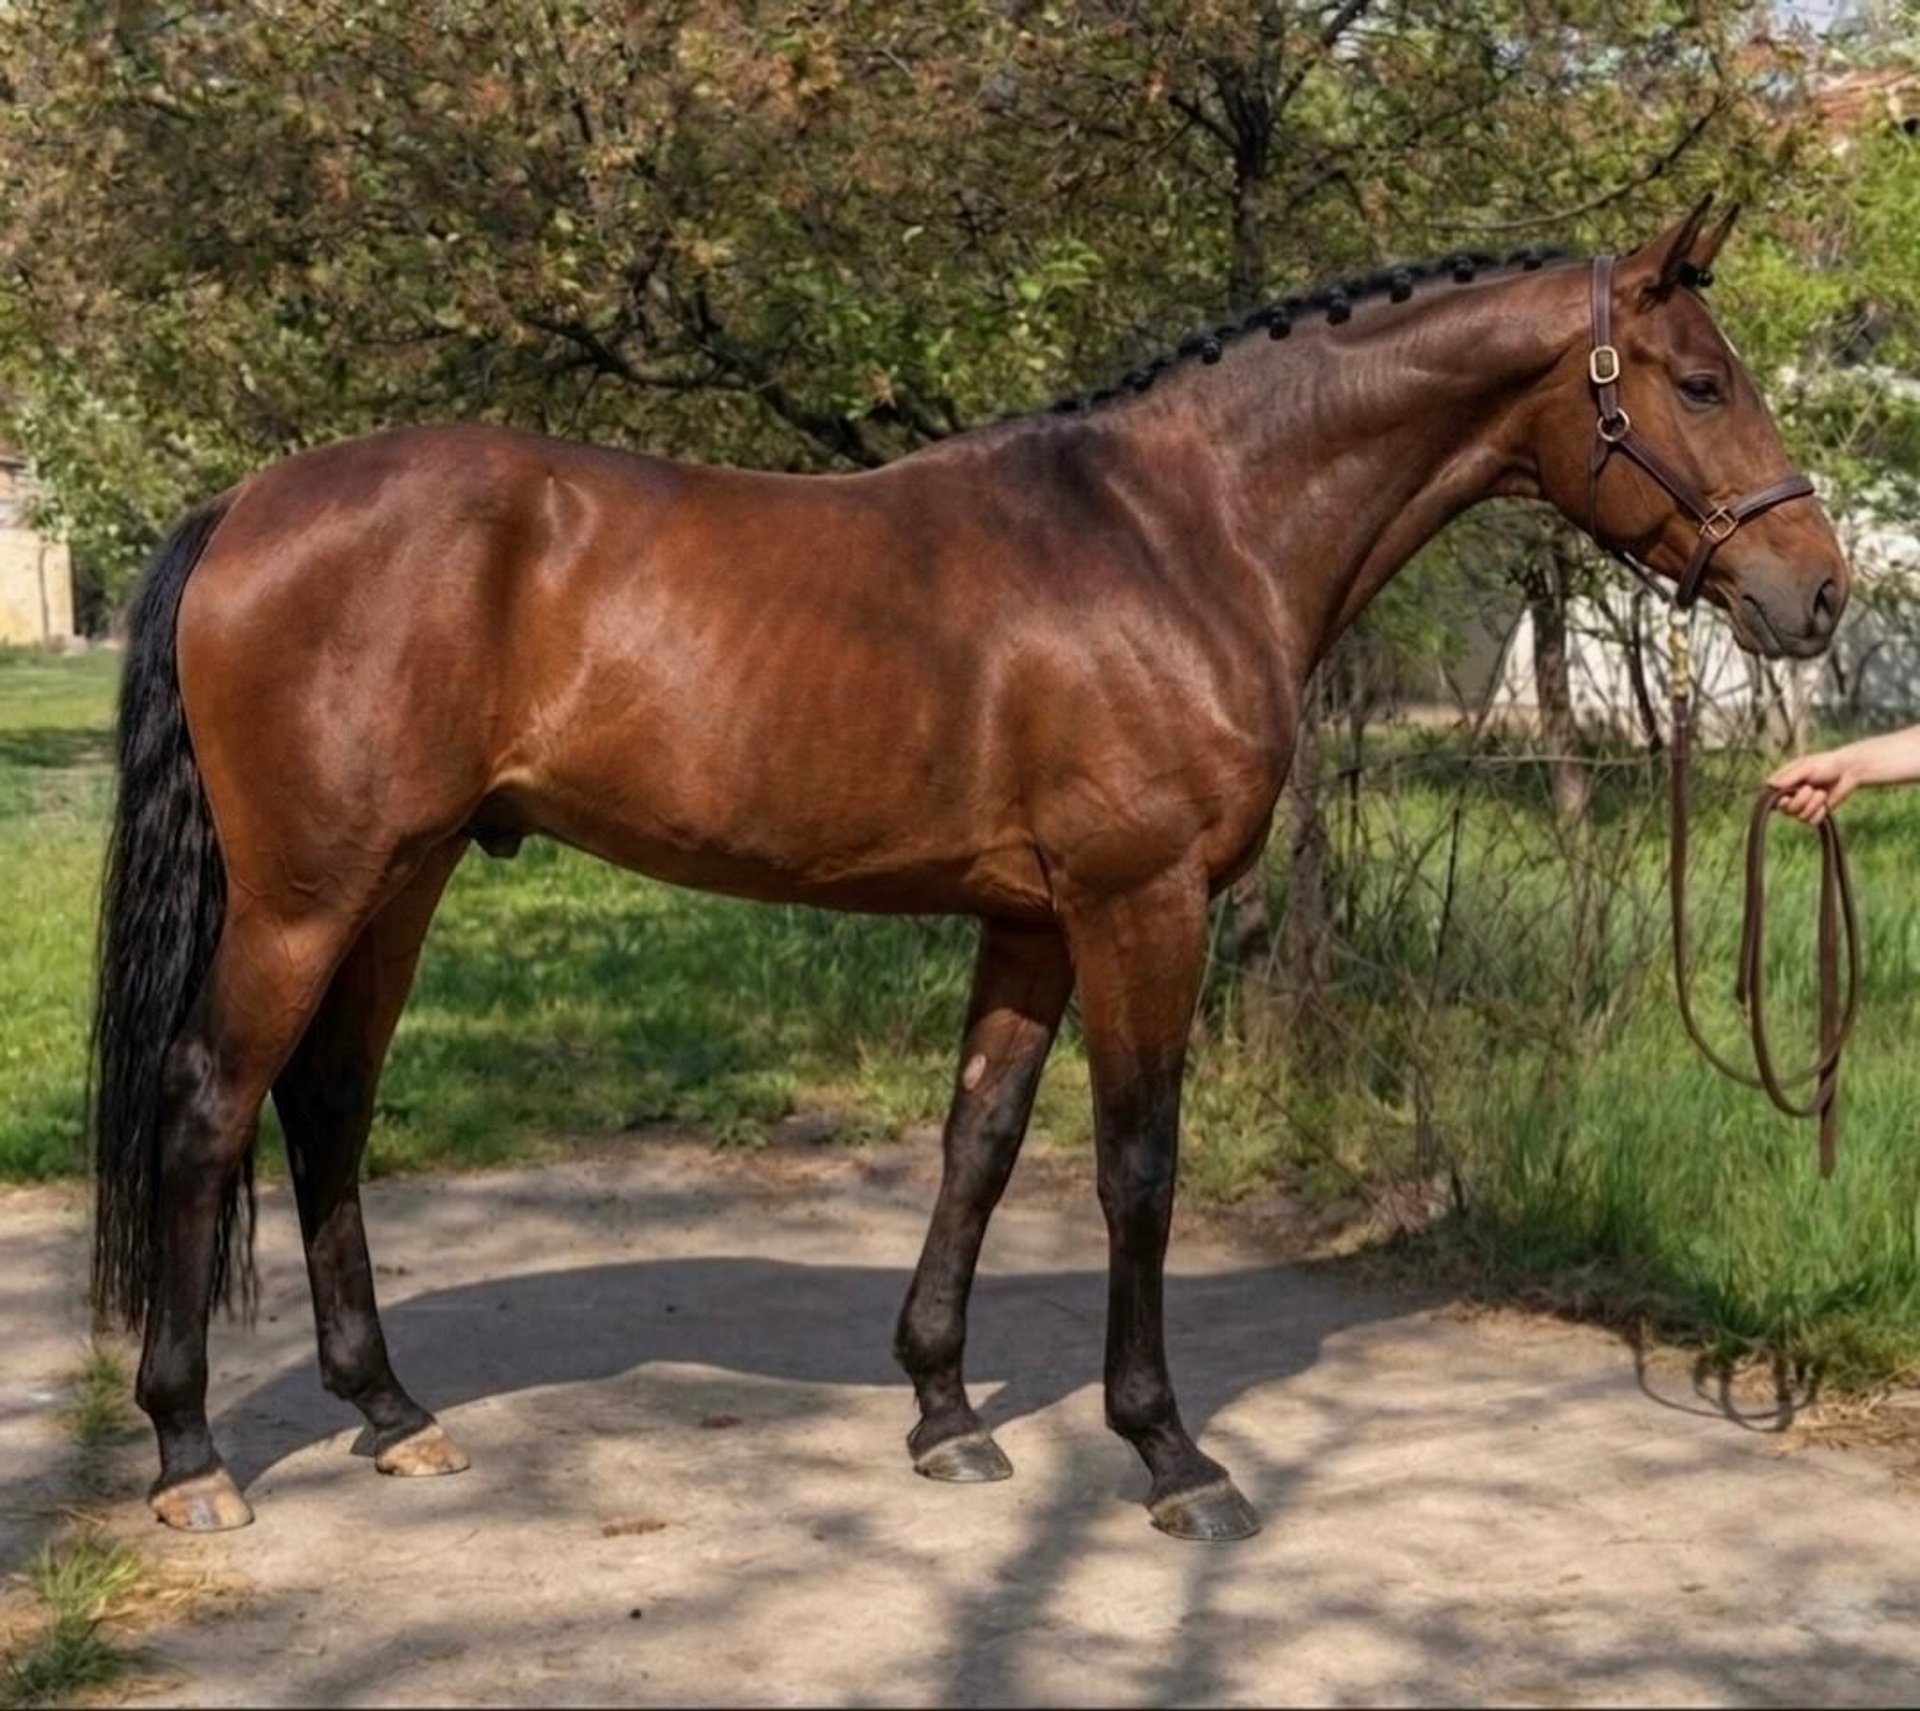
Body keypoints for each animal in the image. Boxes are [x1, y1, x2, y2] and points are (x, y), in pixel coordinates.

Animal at [90, 195, 1848, 1543]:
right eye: (1702, 382)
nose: (1815, 592)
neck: (1182, 531)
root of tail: (247, 502)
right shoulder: (1142, 904)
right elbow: (1136, 1165)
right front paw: (1171, 1449)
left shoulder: (1032, 919)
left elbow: (980, 1146)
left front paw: (943, 1408)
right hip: (310, 894)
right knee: (208, 1102)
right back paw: (190, 1453)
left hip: (404, 877)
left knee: (326, 1108)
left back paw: (392, 1411)